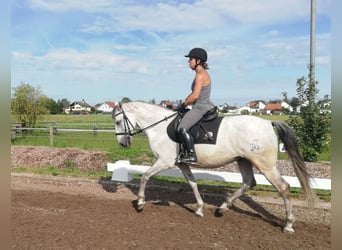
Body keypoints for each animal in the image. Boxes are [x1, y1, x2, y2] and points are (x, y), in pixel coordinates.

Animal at [112, 100, 316, 233]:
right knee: (248, 183)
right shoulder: (182, 164)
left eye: (118, 121)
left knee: (283, 187)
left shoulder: (165, 161)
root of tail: (268, 123)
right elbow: (193, 184)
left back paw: (288, 225)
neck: (159, 127)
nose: (122, 143)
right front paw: (199, 209)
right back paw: (222, 208)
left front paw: (140, 202)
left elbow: (145, 176)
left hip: (264, 165)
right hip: (243, 160)